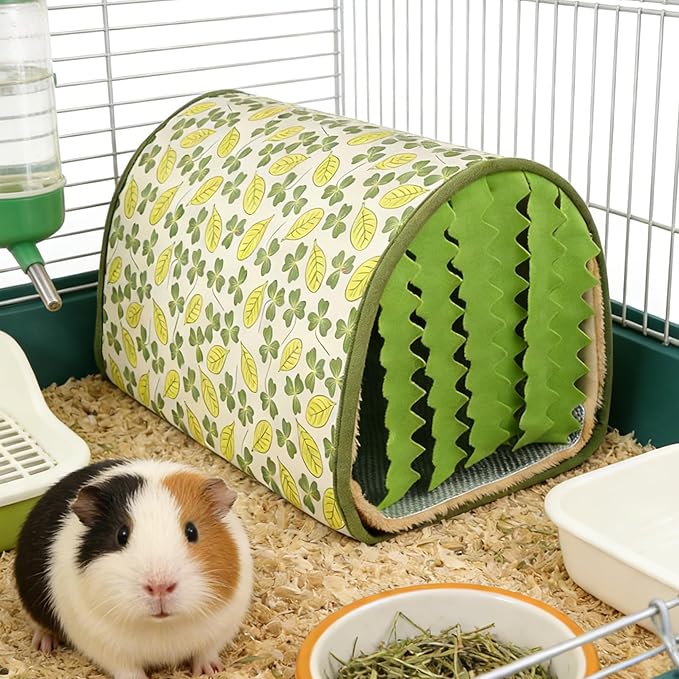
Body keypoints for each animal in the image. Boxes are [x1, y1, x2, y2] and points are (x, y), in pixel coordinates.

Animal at [14, 458, 253, 679]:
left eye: (192, 531)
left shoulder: (222, 629)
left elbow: (206, 652)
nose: (159, 587)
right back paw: (44, 646)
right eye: (121, 535)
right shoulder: (107, 649)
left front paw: (210, 671)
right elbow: (129, 671)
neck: (162, 627)